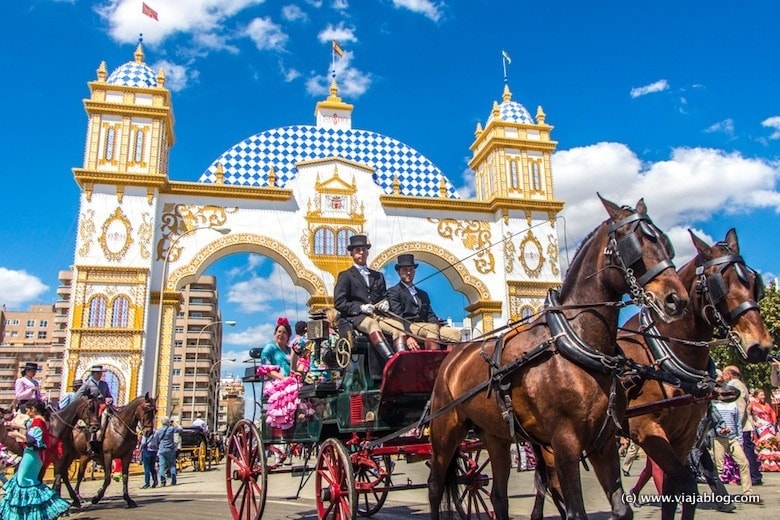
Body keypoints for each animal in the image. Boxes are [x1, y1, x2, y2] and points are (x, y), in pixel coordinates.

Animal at [426, 196, 688, 520]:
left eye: (667, 244)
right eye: (634, 244)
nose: (676, 299)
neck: (578, 343)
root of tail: (453, 357)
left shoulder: (604, 440)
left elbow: (621, 509)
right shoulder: (564, 441)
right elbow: (576, 511)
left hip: (494, 435)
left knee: (498, 495)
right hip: (444, 429)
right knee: (435, 487)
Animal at [532, 229, 772, 520]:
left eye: (753, 281)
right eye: (719, 283)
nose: (761, 345)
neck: (665, 356)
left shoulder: (685, 435)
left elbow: (676, 488)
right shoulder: (646, 428)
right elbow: (684, 482)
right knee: (551, 480)